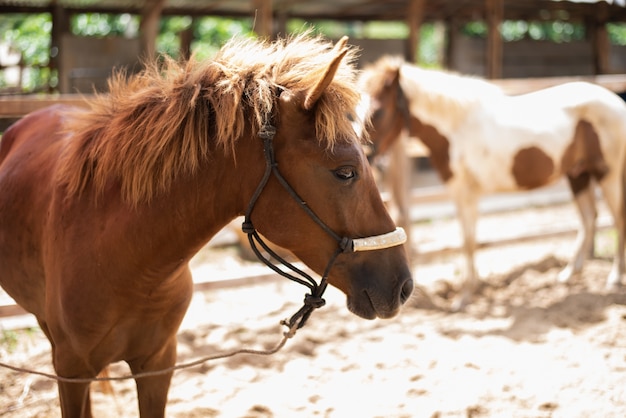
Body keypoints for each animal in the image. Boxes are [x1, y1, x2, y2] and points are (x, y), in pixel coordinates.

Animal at [358, 55, 624, 308]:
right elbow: (468, 239)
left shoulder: (467, 193)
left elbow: (468, 242)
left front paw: (463, 297)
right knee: (588, 218)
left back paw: (614, 278)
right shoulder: (461, 193)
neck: (457, 127)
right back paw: (568, 274)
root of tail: (617, 103)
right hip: (578, 175)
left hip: (607, 175)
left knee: (617, 219)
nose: (364, 159)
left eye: (378, 111)